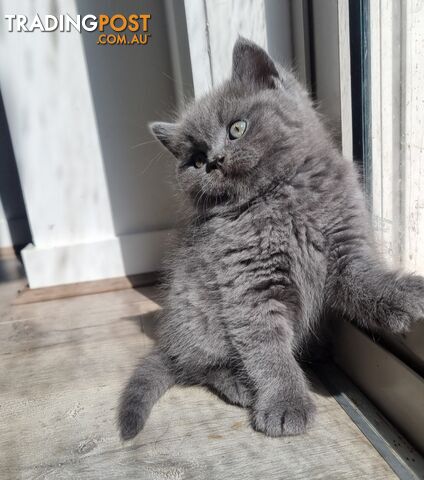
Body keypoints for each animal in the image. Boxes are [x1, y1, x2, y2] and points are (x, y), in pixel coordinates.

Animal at [118, 39, 424, 440]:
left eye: (237, 128)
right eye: (196, 160)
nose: (215, 160)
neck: (277, 197)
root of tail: (169, 337)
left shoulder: (346, 247)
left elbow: (363, 280)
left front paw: (402, 294)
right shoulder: (249, 285)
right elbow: (267, 349)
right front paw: (285, 403)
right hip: (197, 315)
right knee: (197, 365)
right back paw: (239, 384)